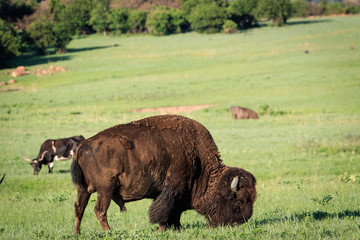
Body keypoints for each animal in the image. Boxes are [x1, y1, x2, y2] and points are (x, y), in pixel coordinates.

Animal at [71, 115, 256, 233]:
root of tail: (82, 145)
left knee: (79, 208)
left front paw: (176, 228)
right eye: (239, 201)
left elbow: (173, 211)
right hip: (105, 190)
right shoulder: (173, 188)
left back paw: (77, 233)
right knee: (99, 210)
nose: (243, 220)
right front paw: (162, 229)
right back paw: (108, 231)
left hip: (84, 189)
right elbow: (165, 210)